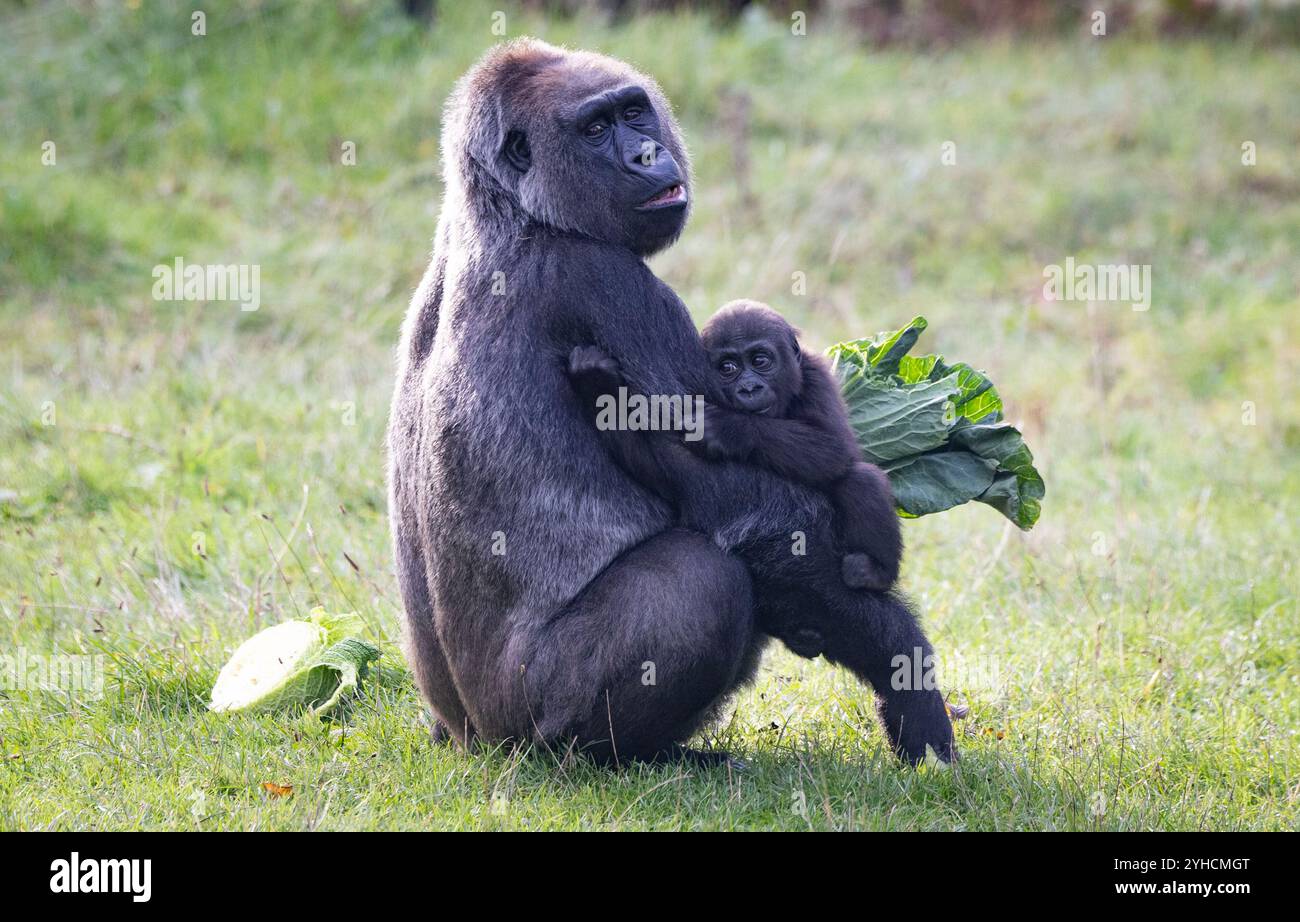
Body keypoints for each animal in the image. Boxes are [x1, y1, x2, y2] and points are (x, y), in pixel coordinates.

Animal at [702, 300, 904, 590]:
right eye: (727, 367)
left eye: (760, 361)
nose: (749, 388)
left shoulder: (815, 375)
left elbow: (835, 449)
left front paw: (730, 428)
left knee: (860, 479)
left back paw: (876, 572)